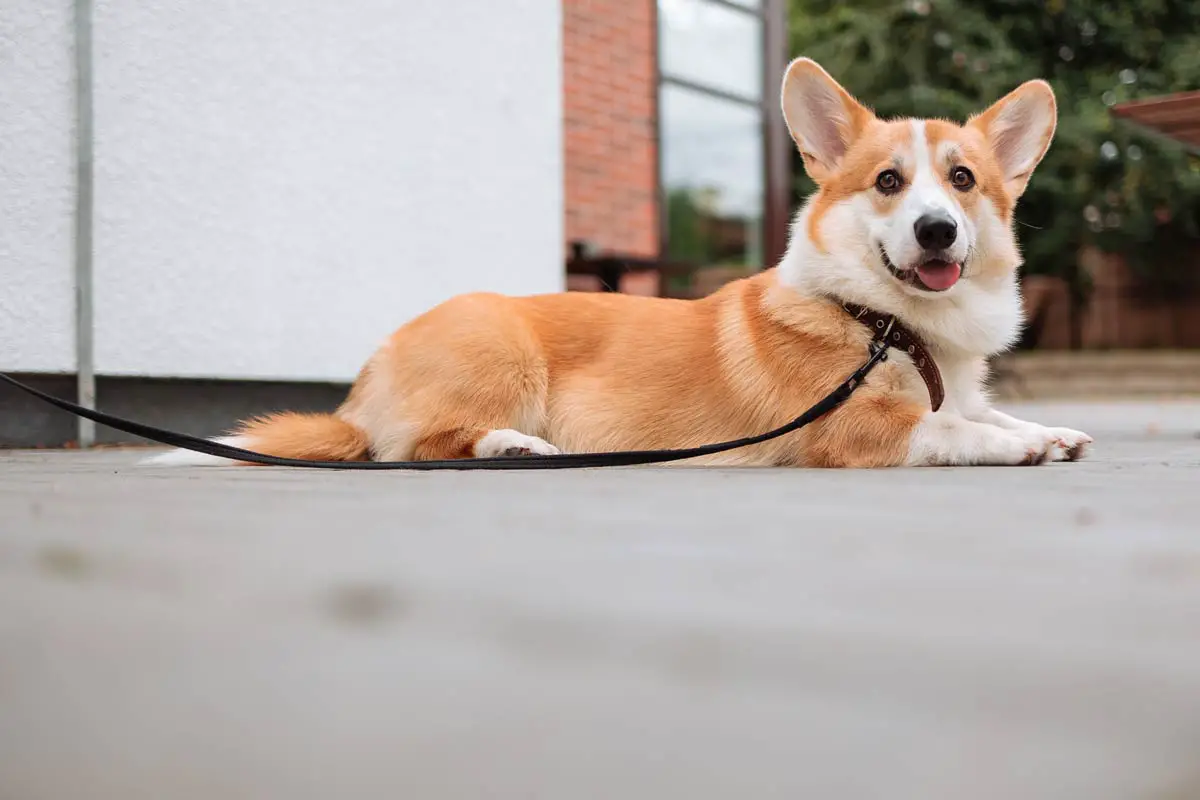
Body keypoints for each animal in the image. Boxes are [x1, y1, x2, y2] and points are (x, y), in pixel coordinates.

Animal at [147, 59, 1089, 472]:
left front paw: (1048, 427)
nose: (936, 232)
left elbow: (981, 411)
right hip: (497, 352)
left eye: (962, 181)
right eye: (889, 182)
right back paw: (514, 446)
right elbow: (954, 430)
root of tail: (369, 370)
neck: (883, 319)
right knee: (413, 445)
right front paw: (1023, 444)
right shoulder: (851, 430)